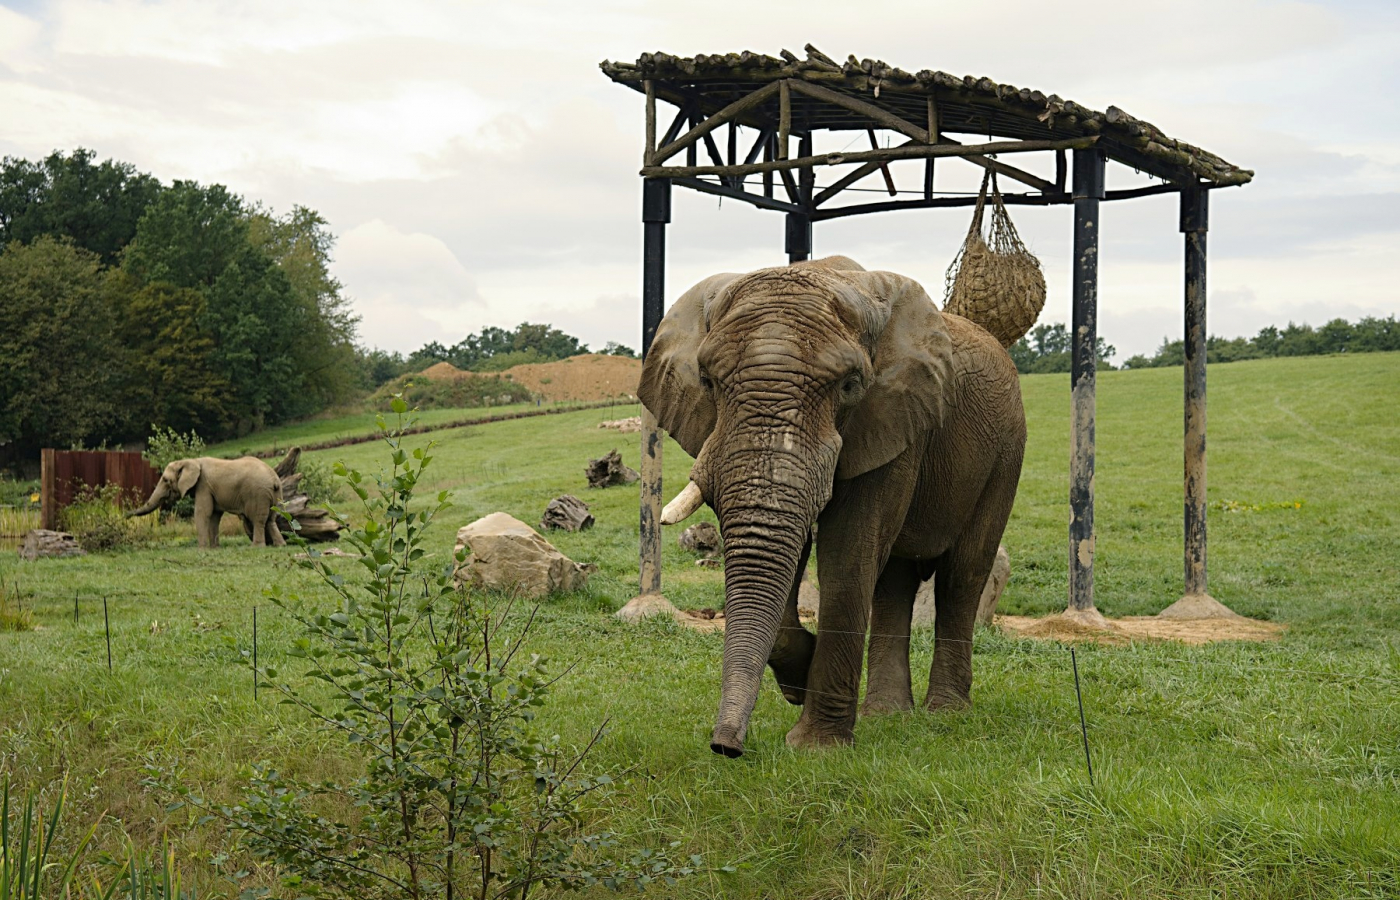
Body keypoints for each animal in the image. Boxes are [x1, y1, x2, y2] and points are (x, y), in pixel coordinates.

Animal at [128, 459, 287, 548]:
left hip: (258, 494)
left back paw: (256, 547)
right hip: (276, 495)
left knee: (258, 520)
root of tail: (274, 480)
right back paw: (280, 546)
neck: (190, 461)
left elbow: (203, 513)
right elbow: (214, 516)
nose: (126, 515)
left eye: (166, 480)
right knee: (271, 519)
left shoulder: (203, 485)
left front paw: (202, 549)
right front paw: (214, 548)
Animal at [641, 257, 1024, 755]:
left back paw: (945, 713)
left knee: (962, 575)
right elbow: (788, 549)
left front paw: (816, 747)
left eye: (850, 385)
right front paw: (799, 681)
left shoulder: (893, 419)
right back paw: (886, 714)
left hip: (1006, 451)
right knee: (894, 581)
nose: (726, 747)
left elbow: (846, 556)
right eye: (706, 381)